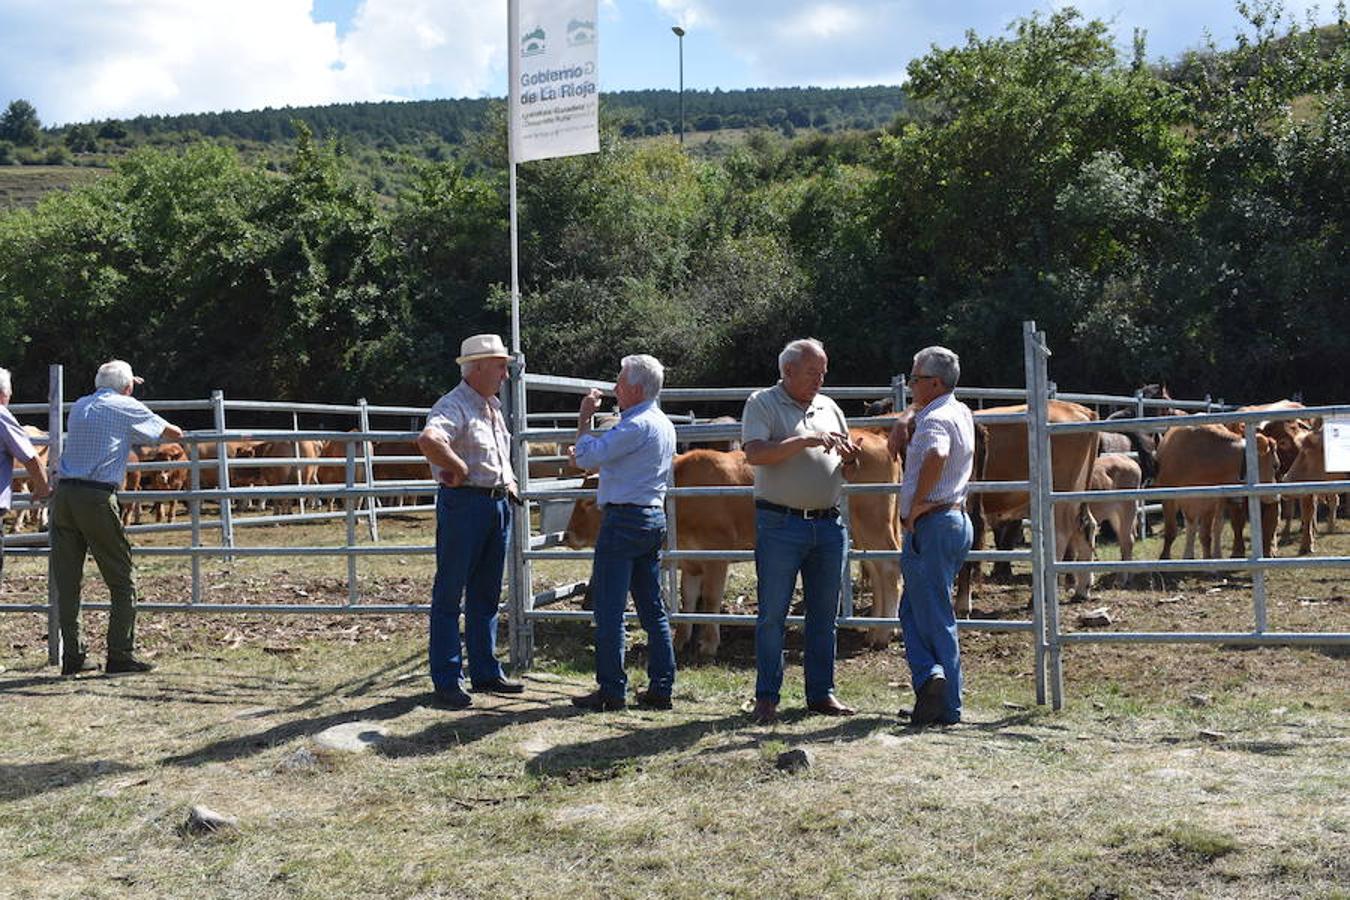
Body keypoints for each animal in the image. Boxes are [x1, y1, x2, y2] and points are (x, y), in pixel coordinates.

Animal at [1155, 426, 1279, 558]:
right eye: (1275, 465)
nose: (1276, 496)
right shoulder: (1168, 498)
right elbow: (1170, 531)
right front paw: (1164, 557)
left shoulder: (1209, 502)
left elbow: (1206, 535)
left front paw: (1209, 559)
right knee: (1191, 526)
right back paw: (1188, 555)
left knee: (1216, 527)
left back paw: (1216, 554)